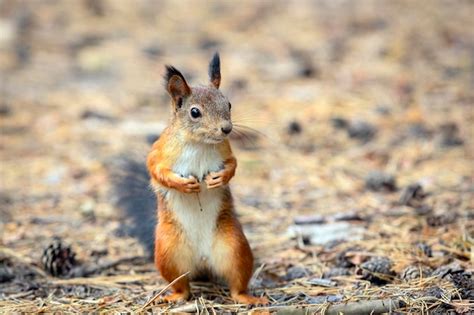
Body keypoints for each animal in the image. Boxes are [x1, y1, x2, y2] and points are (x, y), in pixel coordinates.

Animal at [146, 52, 268, 306]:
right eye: (195, 112)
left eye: (228, 104)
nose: (227, 129)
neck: (199, 143)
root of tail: (202, 261)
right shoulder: (159, 151)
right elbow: (156, 170)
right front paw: (184, 184)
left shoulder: (226, 150)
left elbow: (233, 165)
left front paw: (219, 179)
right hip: (167, 252)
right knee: (182, 286)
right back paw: (174, 296)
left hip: (235, 249)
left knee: (237, 284)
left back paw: (248, 298)